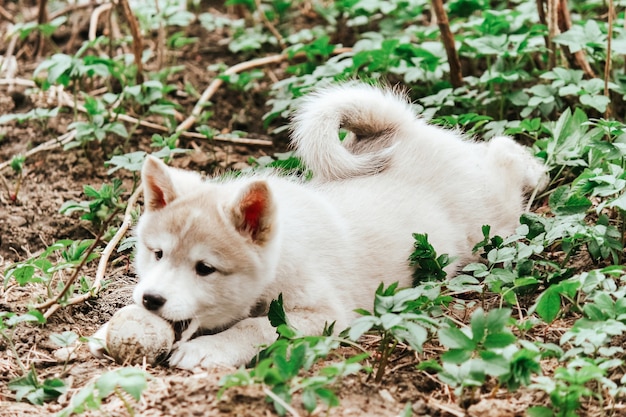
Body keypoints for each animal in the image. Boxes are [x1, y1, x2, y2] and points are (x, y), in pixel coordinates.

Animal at [90, 83, 544, 368]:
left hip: (491, 218)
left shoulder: (326, 315)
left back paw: (537, 172)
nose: (151, 300)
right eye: (157, 253)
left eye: (205, 268)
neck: (280, 258)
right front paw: (107, 329)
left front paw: (211, 349)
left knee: (504, 151)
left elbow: (256, 326)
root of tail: (405, 131)